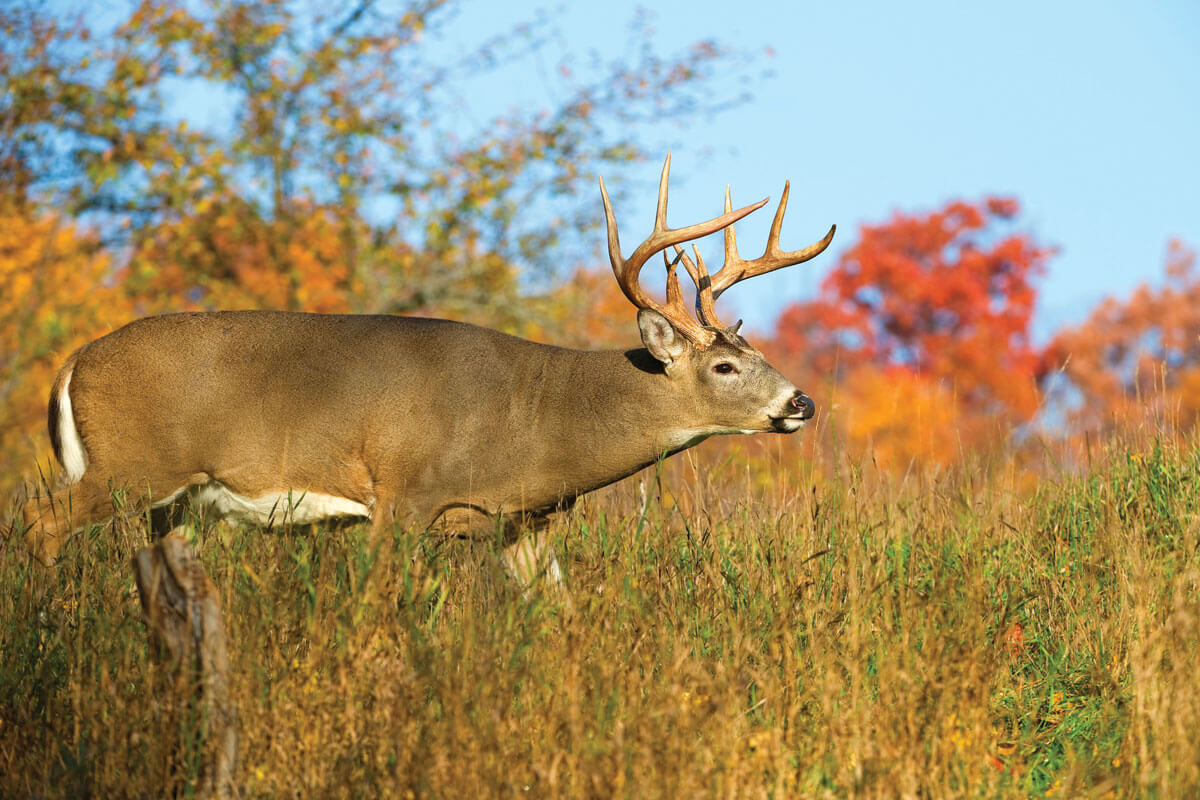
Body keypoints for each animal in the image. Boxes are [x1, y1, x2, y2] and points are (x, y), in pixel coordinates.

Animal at [18, 154, 835, 587]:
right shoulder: (403, 493)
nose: (802, 403)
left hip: (182, 499)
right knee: (39, 522)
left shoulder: (520, 524)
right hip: (130, 466)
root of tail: (71, 363)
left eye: (756, 353)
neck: (536, 423)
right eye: (725, 365)